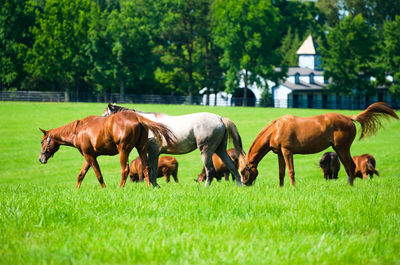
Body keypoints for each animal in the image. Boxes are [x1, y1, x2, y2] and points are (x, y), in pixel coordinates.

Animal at [38, 110, 175, 187]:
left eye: (41, 142)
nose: (40, 159)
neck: (78, 131)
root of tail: (136, 117)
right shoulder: (88, 157)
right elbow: (81, 175)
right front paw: (76, 190)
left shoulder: (90, 157)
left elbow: (98, 175)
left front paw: (104, 189)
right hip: (141, 149)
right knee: (146, 168)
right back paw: (148, 187)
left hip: (123, 151)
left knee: (125, 170)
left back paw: (120, 188)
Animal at [102, 103, 247, 186]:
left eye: (104, 115)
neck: (146, 123)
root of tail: (220, 119)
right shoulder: (155, 153)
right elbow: (153, 169)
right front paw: (156, 186)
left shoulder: (153, 152)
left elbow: (151, 169)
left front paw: (154, 185)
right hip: (220, 150)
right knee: (232, 167)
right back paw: (239, 186)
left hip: (206, 150)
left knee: (209, 170)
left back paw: (206, 187)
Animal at [239, 101, 398, 186]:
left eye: (242, 171)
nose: (245, 184)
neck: (276, 129)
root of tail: (349, 118)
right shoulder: (280, 154)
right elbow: (281, 173)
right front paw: (281, 188)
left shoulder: (287, 151)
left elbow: (291, 171)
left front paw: (293, 188)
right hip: (339, 149)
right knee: (349, 167)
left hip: (342, 148)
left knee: (351, 167)